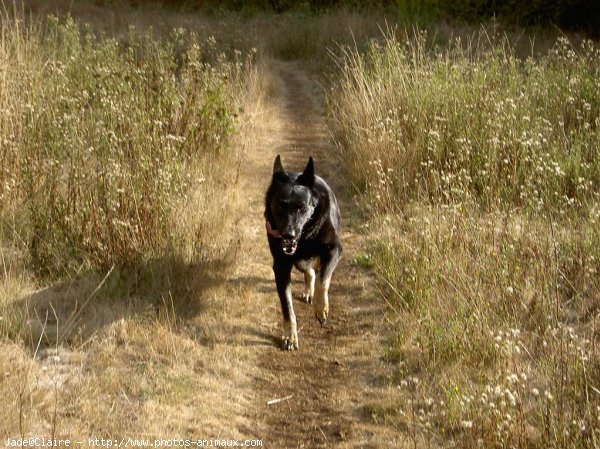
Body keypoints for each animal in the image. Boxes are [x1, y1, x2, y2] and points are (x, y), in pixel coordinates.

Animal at [264, 155, 342, 350]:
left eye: (301, 206)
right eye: (281, 206)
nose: (288, 234)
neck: (307, 235)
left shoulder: (334, 249)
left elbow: (323, 280)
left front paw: (321, 308)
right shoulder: (281, 266)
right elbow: (287, 306)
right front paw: (290, 335)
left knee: (316, 271)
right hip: (297, 261)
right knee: (310, 271)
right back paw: (308, 290)